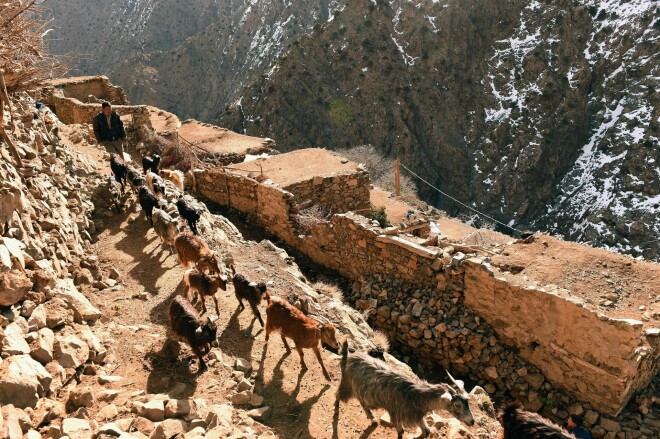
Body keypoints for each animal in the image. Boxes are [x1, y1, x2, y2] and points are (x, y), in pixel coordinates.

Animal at [336, 336, 474, 436]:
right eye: (457, 405)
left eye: (468, 402)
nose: (472, 421)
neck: (415, 395)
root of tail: (348, 356)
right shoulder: (396, 412)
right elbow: (401, 432)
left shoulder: (417, 416)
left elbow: (426, 432)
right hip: (347, 383)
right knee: (338, 394)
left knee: (362, 402)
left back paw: (373, 419)